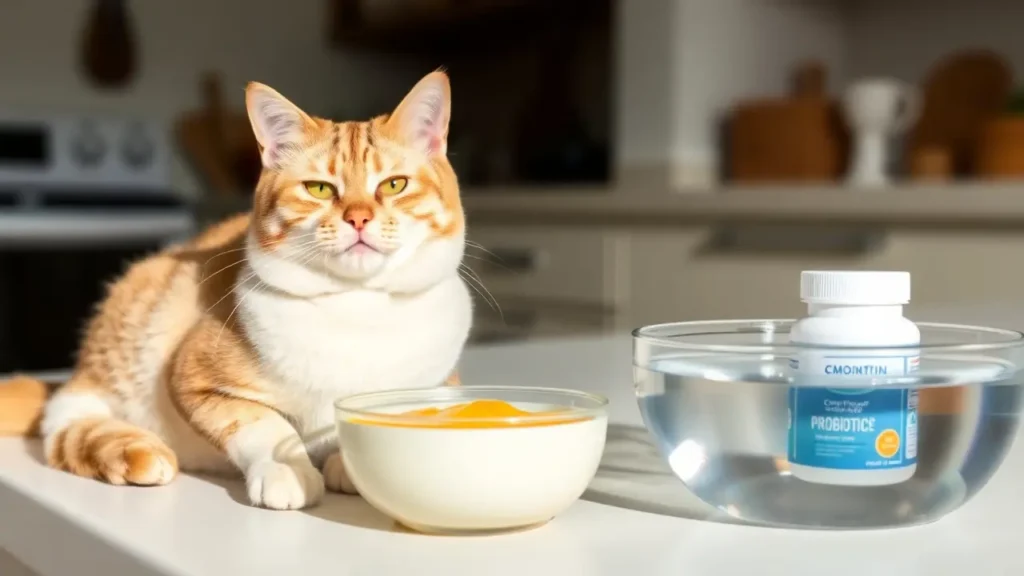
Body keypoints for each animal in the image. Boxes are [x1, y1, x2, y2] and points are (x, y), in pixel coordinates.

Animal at [0, 70, 471, 506]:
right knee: (67, 420)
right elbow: (261, 424)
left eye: (394, 184)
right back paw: (136, 452)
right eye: (319, 189)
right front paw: (288, 469)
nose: (358, 217)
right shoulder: (194, 377)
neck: (357, 306)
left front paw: (350, 465)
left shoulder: (439, 383)